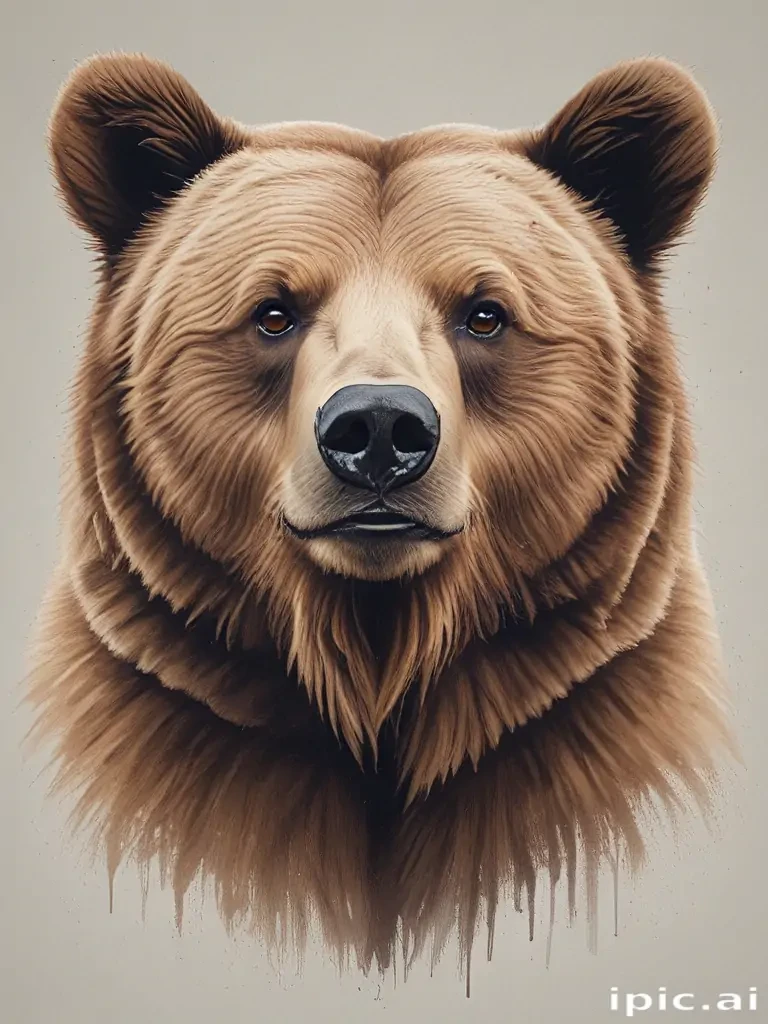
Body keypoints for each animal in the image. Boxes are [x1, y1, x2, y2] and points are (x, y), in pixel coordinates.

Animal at [28, 52, 732, 985]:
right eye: (275, 311)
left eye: (484, 312)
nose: (379, 429)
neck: (375, 667)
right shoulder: (162, 705)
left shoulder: (597, 714)